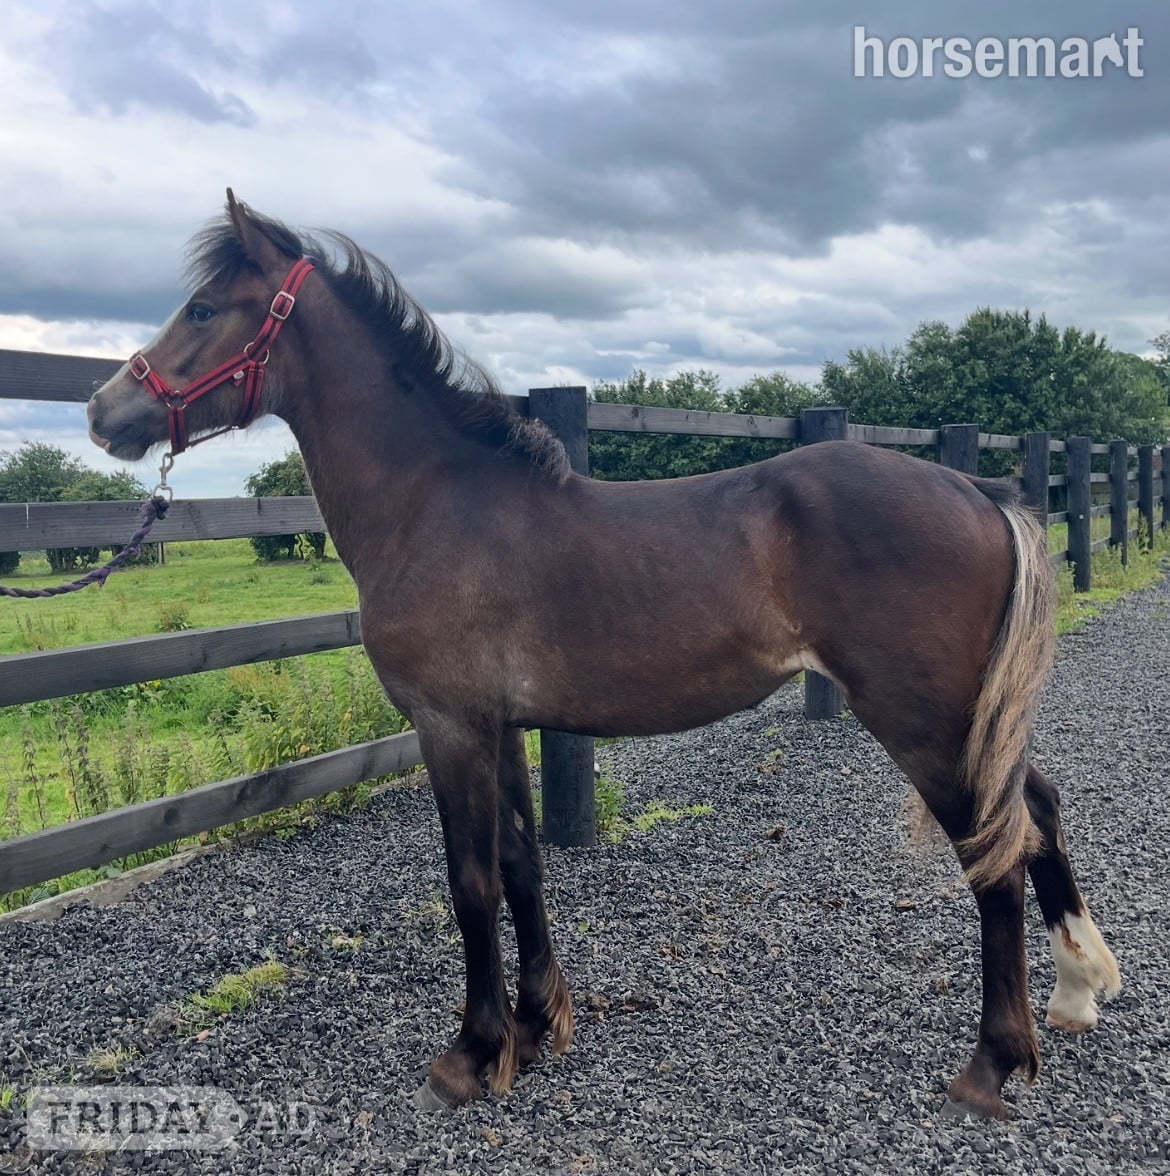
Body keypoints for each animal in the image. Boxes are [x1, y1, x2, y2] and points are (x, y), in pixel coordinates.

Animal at [87, 192, 1120, 1120]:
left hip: (920, 719)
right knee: (1035, 811)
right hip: (965, 717)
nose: (104, 410)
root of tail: (978, 492)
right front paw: (536, 1027)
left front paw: (470, 1055)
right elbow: (519, 864)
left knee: (995, 858)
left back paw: (992, 1066)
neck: (435, 502)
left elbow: (470, 884)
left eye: (204, 309)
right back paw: (1077, 988)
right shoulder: (501, 726)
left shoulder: (448, 726)